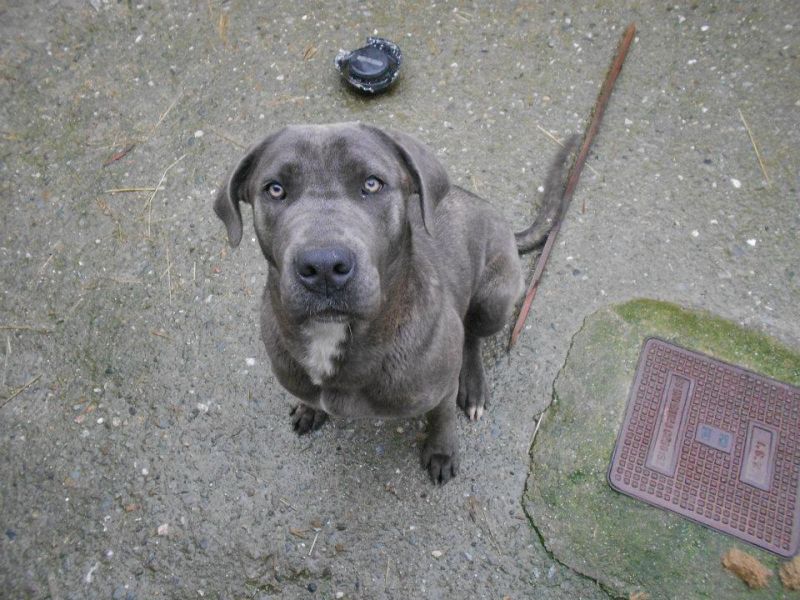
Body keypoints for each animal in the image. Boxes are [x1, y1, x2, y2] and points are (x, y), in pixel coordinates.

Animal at [214, 124, 576, 486]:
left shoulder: (440, 388)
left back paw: (472, 385)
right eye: (275, 189)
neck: (335, 336)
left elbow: (442, 417)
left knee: (471, 336)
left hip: (494, 299)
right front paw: (309, 408)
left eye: (372, 183)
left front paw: (442, 451)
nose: (323, 266)